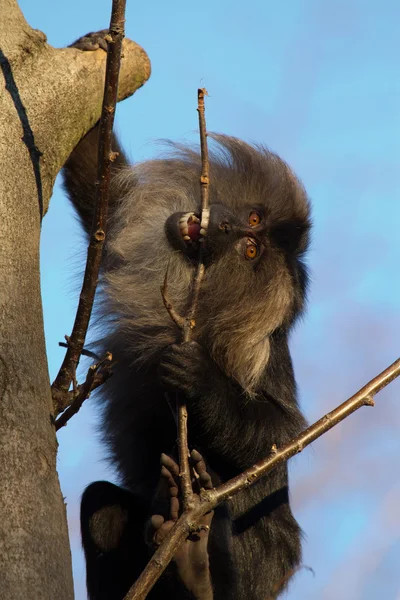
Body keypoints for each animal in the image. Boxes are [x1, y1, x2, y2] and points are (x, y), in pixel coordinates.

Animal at [64, 31, 310, 600]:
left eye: (248, 249)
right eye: (252, 219)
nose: (223, 226)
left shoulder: (260, 356)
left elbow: (284, 436)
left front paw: (200, 380)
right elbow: (101, 199)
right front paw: (99, 48)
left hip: (260, 562)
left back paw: (197, 563)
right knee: (102, 504)